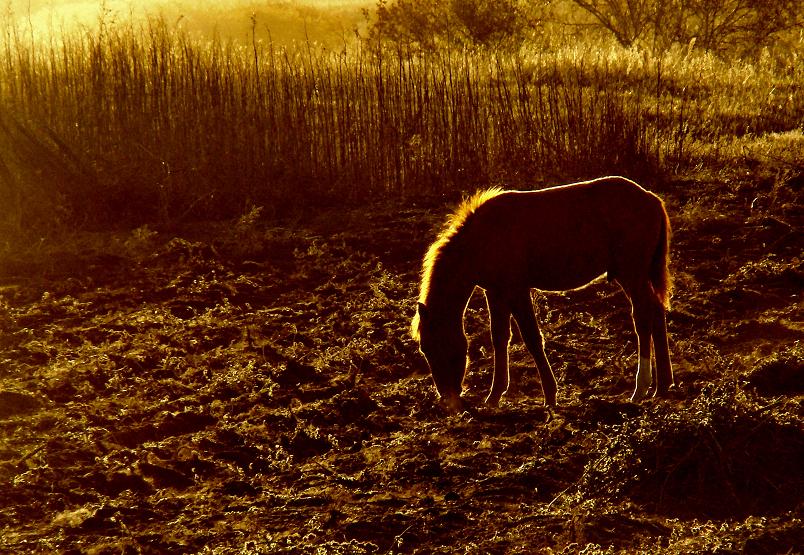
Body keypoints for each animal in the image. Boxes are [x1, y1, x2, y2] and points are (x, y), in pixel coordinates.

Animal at [412, 176, 676, 410]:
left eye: (435, 345)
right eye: (424, 349)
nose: (447, 398)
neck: (482, 238)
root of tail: (651, 198)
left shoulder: (516, 291)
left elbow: (532, 338)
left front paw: (550, 395)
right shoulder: (496, 293)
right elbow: (499, 338)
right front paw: (495, 395)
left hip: (631, 275)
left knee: (643, 318)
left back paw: (641, 388)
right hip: (634, 277)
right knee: (656, 312)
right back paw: (662, 386)